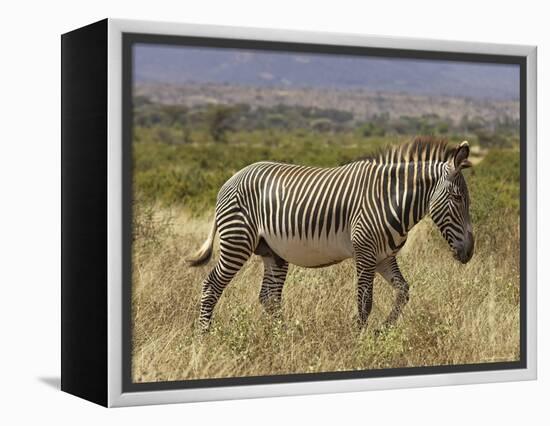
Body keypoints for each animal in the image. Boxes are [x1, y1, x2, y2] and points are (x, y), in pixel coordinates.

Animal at [188, 138, 476, 332]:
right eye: (457, 198)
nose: (469, 252)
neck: (390, 199)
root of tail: (230, 180)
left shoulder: (384, 257)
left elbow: (404, 291)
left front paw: (383, 329)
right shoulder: (365, 253)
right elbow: (365, 302)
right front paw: (359, 340)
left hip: (272, 250)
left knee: (269, 298)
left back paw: (282, 337)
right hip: (237, 241)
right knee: (212, 285)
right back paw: (205, 336)